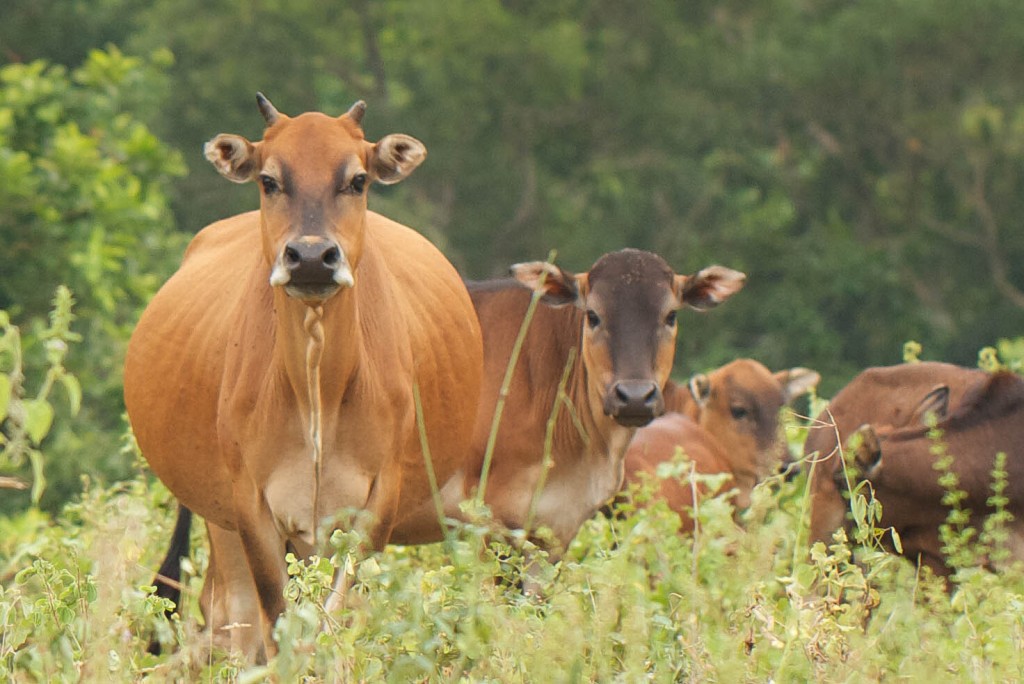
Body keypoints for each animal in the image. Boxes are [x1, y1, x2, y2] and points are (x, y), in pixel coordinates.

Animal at [123, 93, 483, 659]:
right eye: (270, 180)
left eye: (358, 179)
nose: (311, 256)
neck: (319, 391)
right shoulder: (250, 503)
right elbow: (278, 623)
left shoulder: (374, 505)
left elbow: (335, 619)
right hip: (219, 516)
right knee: (230, 612)